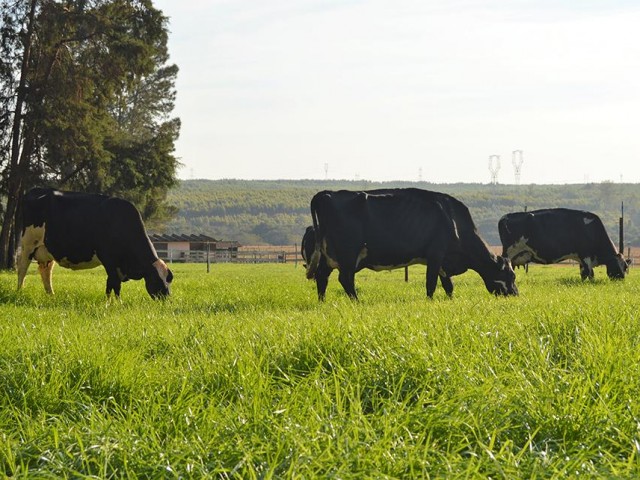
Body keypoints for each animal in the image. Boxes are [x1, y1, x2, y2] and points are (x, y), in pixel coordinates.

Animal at [17, 188, 172, 298]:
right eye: (156, 280)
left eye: (168, 280)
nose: (166, 298)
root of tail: (35, 190)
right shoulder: (109, 260)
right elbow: (114, 284)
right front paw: (115, 303)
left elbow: (111, 285)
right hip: (28, 244)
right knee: (22, 269)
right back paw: (20, 291)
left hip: (47, 250)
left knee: (46, 272)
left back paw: (51, 295)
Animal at [302, 188, 516, 298]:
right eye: (510, 276)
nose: (515, 294)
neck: (454, 220)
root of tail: (326, 193)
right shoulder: (436, 254)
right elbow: (431, 283)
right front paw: (430, 302)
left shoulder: (443, 261)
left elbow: (448, 285)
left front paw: (451, 300)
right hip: (348, 254)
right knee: (345, 279)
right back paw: (357, 302)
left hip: (327, 256)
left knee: (322, 278)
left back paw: (322, 302)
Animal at [498, 207, 628, 282]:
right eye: (619, 266)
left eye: (626, 267)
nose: (622, 279)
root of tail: (505, 217)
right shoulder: (586, 256)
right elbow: (590, 273)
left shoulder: (581, 259)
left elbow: (583, 273)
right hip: (509, 251)